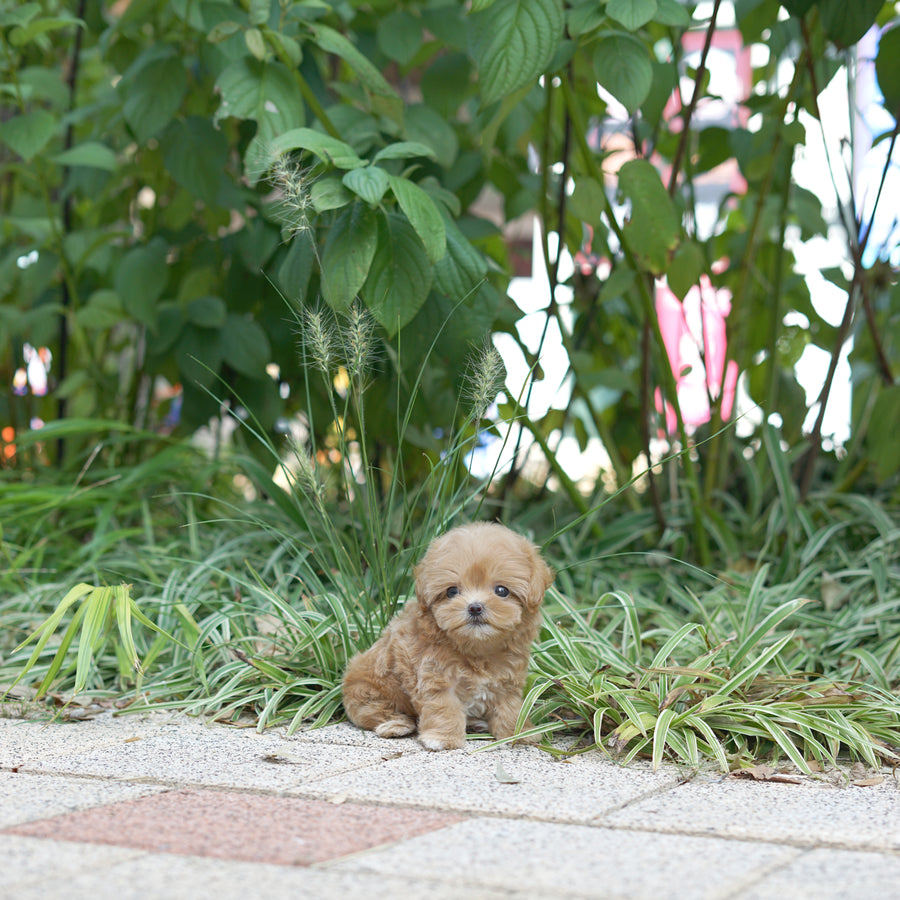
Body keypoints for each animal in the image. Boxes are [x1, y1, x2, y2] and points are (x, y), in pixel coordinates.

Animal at [342, 520, 552, 752]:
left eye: (501, 590)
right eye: (452, 591)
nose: (475, 607)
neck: (477, 649)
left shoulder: (507, 681)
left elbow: (510, 708)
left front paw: (519, 732)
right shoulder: (436, 678)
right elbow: (444, 708)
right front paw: (443, 738)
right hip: (366, 688)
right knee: (373, 711)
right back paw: (396, 725)